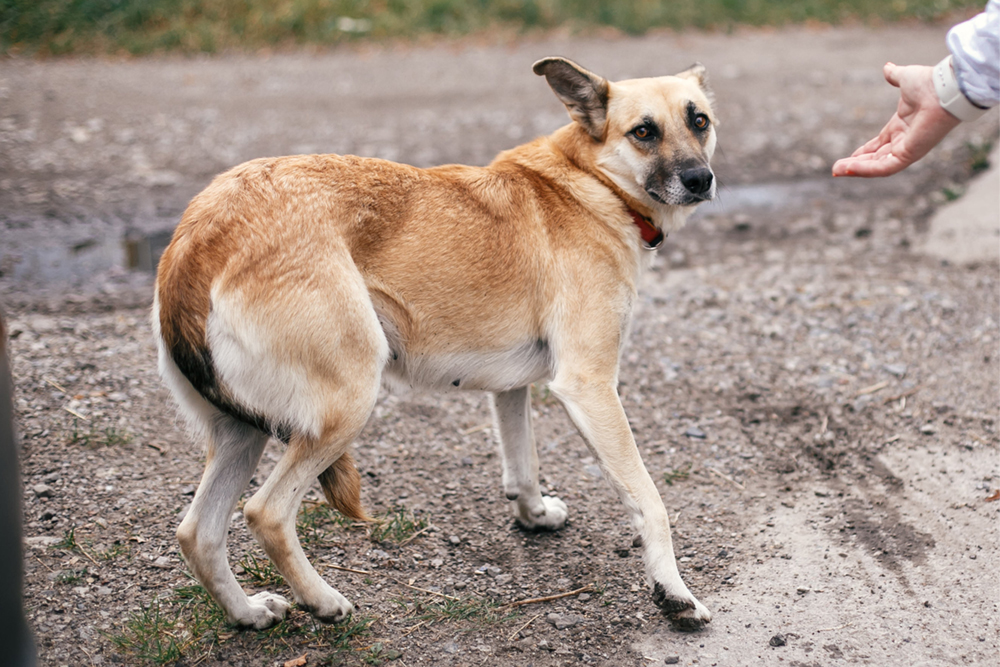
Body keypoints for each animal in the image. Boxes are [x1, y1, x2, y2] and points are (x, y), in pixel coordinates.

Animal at [152, 56, 716, 632]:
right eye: (643, 132)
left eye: (699, 121)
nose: (701, 179)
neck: (590, 182)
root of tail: (198, 238)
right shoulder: (590, 387)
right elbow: (650, 501)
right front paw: (674, 593)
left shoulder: (512, 389)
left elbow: (524, 463)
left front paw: (533, 515)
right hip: (346, 404)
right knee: (265, 513)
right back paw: (325, 601)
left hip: (242, 432)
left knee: (197, 533)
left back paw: (247, 613)